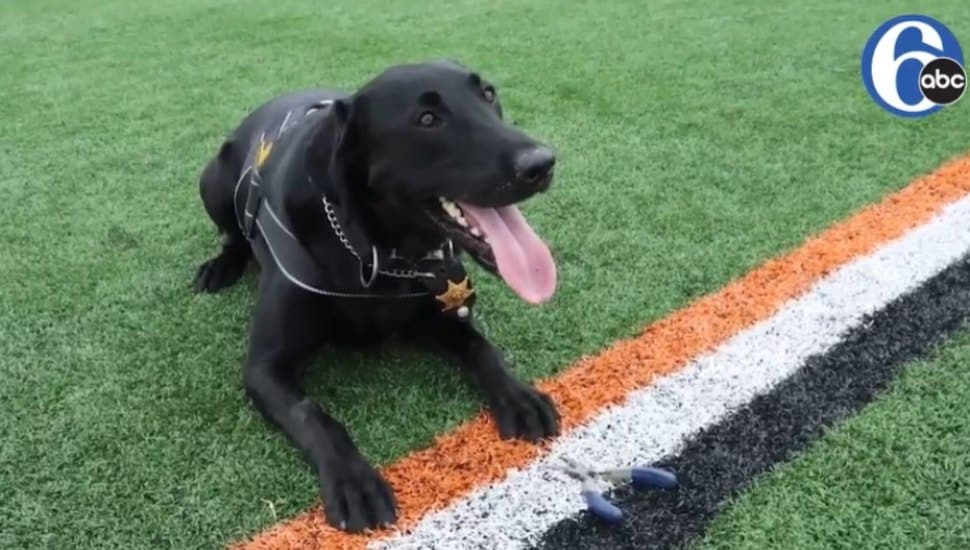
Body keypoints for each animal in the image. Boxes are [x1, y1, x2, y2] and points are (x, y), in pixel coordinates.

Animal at [196, 61, 556, 536]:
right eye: (427, 119)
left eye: (489, 95)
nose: (543, 163)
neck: (376, 253)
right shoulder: (264, 367)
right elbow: (315, 416)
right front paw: (354, 481)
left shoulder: (441, 316)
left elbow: (484, 350)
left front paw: (519, 396)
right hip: (213, 182)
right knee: (232, 235)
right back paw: (220, 266)